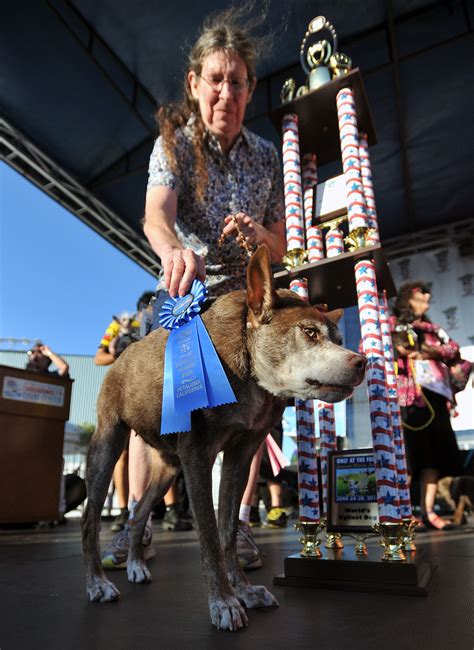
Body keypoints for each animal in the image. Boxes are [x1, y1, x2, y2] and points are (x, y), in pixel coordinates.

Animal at [82, 243, 366, 628]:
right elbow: (209, 537)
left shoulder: (240, 457)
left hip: (169, 467)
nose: (362, 362)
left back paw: (136, 565)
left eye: (339, 339)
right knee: (90, 517)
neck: (247, 362)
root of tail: (123, 357)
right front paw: (224, 601)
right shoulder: (198, 457)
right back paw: (97, 582)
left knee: (140, 511)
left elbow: (228, 530)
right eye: (309, 333)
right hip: (109, 445)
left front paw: (243, 589)